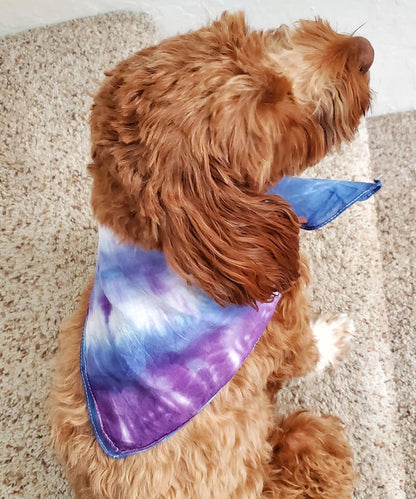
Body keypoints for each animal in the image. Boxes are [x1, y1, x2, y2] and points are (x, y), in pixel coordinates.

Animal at [48, 11, 374, 499]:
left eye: (249, 34)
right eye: (270, 104)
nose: (365, 51)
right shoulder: (284, 328)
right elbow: (308, 353)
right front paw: (334, 335)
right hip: (308, 441)